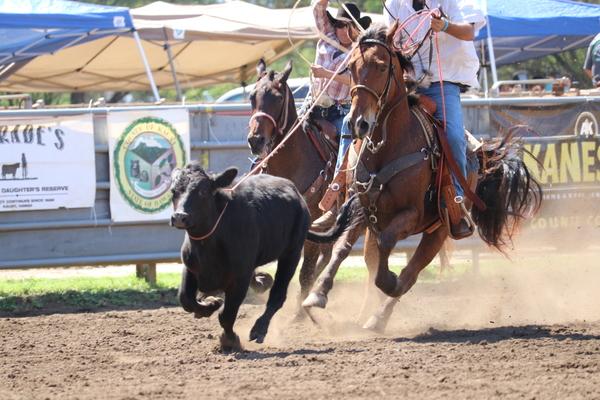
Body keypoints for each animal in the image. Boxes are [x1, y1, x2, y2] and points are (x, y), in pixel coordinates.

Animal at [244, 60, 338, 316]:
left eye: (277, 98)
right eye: (252, 96)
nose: (255, 140)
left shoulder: (311, 222)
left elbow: (305, 271)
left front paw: (298, 315)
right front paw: (261, 279)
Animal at [302, 23, 540, 332]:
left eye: (381, 66)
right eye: (351, 67)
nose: (358, 123)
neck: (388, 145)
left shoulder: (411, 214)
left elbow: (388, 247)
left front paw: (388, 281)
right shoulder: (361, 209)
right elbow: (343, 247)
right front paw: (317, 294)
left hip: (439, 230)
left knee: (412, 272)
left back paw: (379, 316)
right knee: (374, 259)